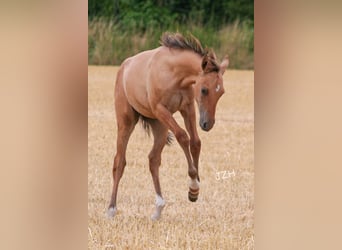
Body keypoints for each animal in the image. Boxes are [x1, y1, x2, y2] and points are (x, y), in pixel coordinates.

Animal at [107, 32, 230, 220]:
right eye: (204, 90)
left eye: (221, 92)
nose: (207, 124)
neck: (174, 73)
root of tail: (123, 68)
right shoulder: (161, 109)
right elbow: (183, 136)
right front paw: (193, 182)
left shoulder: (187, 108)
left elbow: (195, 142)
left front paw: (194, 190)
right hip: (127, 122)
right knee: (119, 161)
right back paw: (112, 208)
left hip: (160, 125)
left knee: (153, 159)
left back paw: (159, 208)